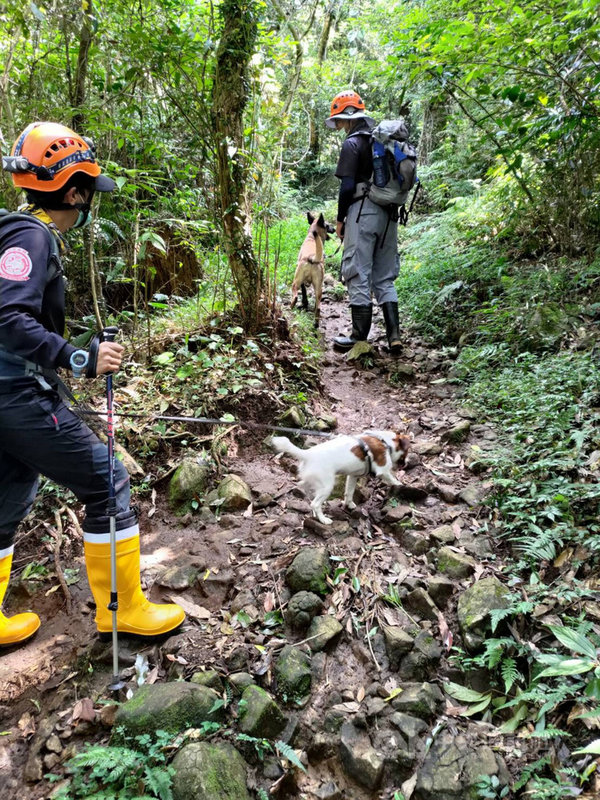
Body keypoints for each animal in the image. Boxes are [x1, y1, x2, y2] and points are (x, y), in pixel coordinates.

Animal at [270, 432, 408, 524]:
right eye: (407, 452)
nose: (406, 464)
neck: (385, 442)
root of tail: (308, 454)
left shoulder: (353, 476)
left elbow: (349, 492)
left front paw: (349, 504)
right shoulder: (383, 470)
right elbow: (392, 479)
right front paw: (400, 485)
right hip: (327, 487)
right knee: (315, 504)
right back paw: (323, 519)